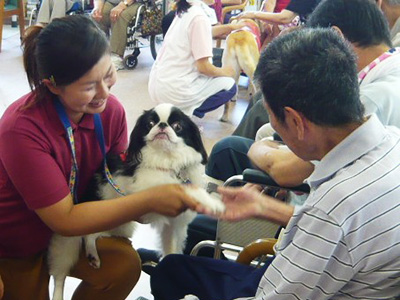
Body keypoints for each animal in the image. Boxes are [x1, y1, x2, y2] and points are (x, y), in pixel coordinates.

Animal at [47, 103, 225, 300]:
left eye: (177, 126)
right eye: (150, 123)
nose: (162, 125)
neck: (167, 162)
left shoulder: (172, 225)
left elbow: (170, 251)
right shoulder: (150, 192)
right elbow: (184, 190)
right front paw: (213, 203)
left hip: (117, 225)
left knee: (92, 235)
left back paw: (93, 255)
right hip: (73, 234)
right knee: (61, 274)